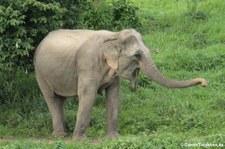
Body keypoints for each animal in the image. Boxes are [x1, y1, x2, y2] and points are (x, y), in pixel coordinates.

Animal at [33, 28, 207, 140]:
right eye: (137, 55)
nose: (204, 83)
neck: (114, 35)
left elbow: (114, 95)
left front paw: (114, 138)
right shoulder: (87, 64)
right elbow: (88, 96)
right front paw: (80, 140)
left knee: (60, 100)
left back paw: (65, 131)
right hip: (40, 72)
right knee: (51, 98)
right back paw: (60, 135)